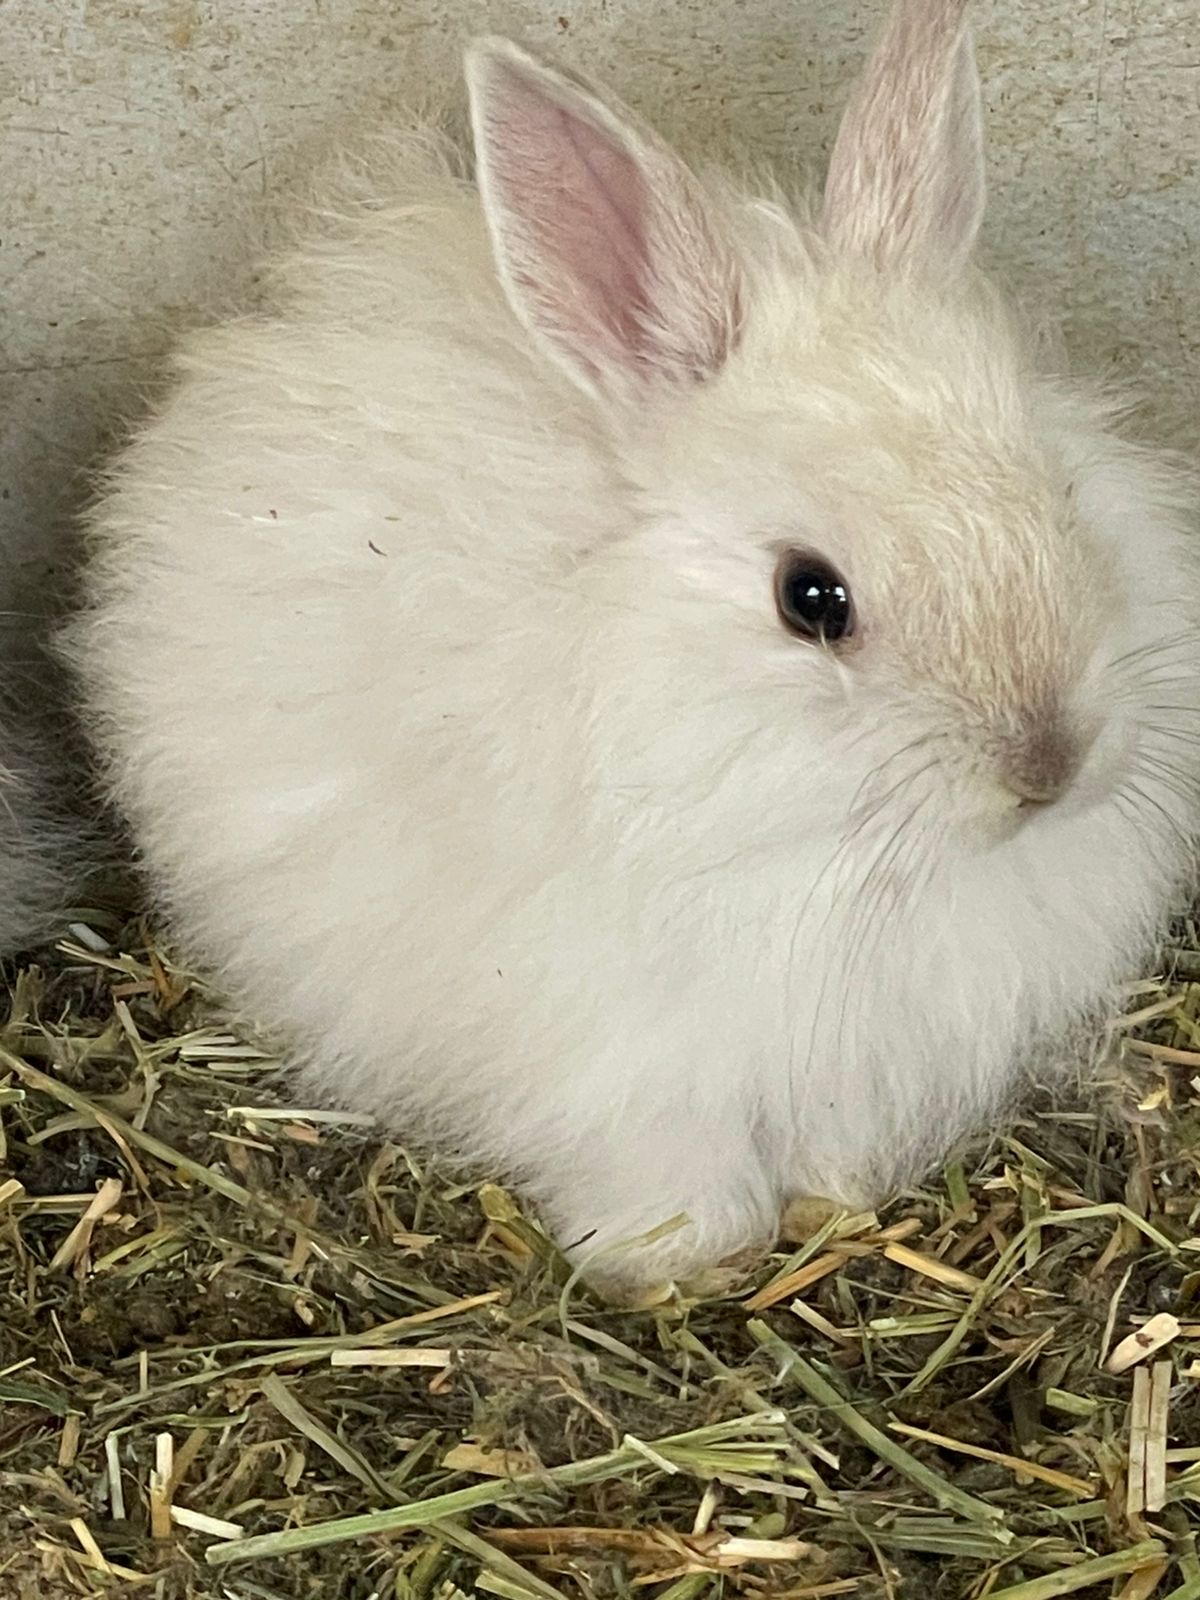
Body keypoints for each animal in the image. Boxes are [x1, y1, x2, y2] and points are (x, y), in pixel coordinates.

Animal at [67, 0, 1200, 1297]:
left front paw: (835, 1199)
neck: (823, 847)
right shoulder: (622, 1062)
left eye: (1059, 492)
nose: (1049, 764)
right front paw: (679, 1259)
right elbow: (661, 1161)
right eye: (812, 597)